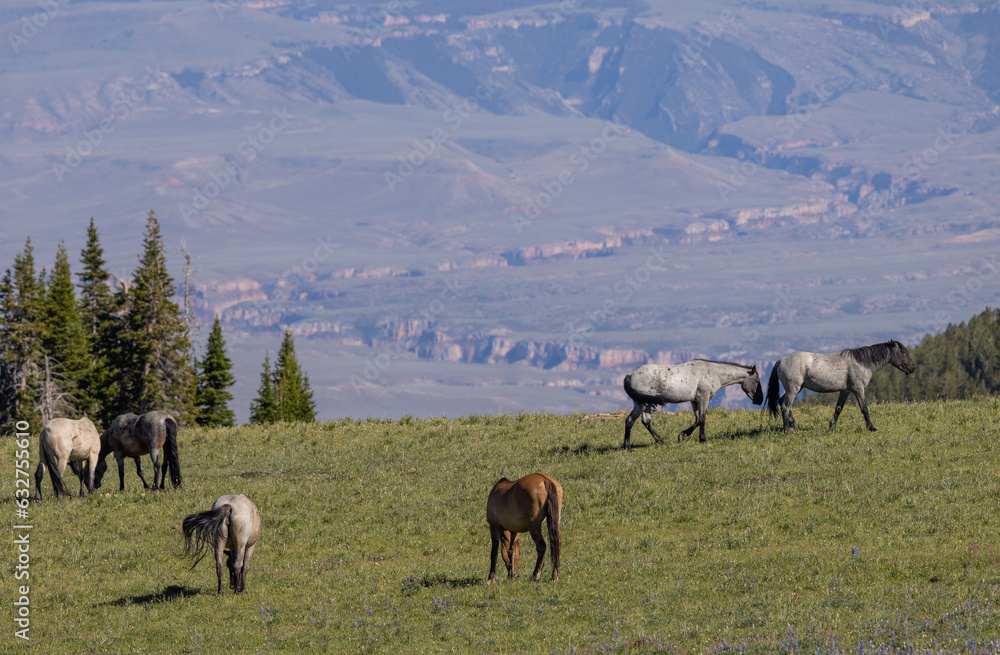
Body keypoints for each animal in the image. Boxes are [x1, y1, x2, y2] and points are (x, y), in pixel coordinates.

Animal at [624, 358, 764, 452]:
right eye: (757, 381)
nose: (760, 400)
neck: (713, 372)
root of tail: (629, 375)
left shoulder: (694, 401)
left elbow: (696, 420)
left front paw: (682, 435)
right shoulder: (703, 398)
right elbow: (702, 419)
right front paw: (703, 439)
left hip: (645, 404)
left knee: (645, 421)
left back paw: (661, 442)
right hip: (642, 404)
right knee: (630, 420)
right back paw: (628, 447)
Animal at [768, 340, 916, 434]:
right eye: (903, 352)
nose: (912, 368)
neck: (861, 363)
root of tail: (781, 360)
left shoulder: (845, 391)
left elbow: (838, 409)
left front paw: (831, 427)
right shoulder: (859, 390)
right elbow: (864, 409)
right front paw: (871, 428)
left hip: (796, 389)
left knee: (781, 402)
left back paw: (792, 425)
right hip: (793, 389)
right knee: (785, 406)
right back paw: (787, 429)